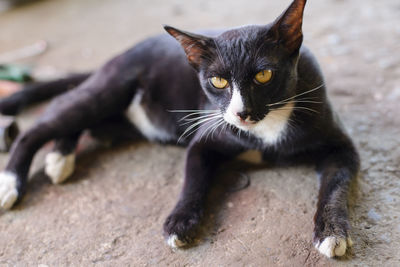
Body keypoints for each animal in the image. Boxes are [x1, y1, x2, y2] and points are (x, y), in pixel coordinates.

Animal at [0, 0, 360, 260]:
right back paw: (11, 183)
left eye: (263, 75)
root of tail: (118, 55)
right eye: (218, 81)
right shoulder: (207, 136)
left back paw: (59, 159)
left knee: (80, 122)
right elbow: (194, 177)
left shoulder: (341, 148)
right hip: (110, 89)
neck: (268, 128)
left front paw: (332, 231)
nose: (241, 113)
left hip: (115, 119)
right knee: (48, 118)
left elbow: (335, 186)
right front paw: (181, 221)